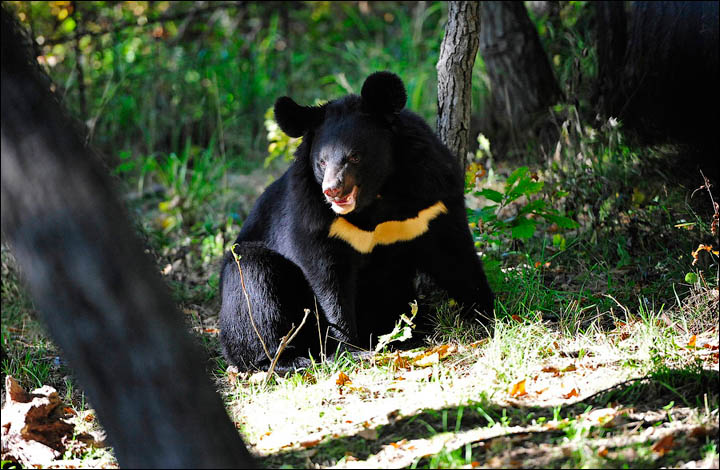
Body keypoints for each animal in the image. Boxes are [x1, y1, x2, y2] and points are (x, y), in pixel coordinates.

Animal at [222, 70, 496, 370]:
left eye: (354, 156)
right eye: (321, 162)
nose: (332, 190)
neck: (378, 195)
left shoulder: (433, 199)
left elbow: (455, 257)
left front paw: (490, 316)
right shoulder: (317, 221)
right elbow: (329, 283)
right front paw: (352, 351)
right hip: (244, 284)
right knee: (255, 279)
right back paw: (290, 359)